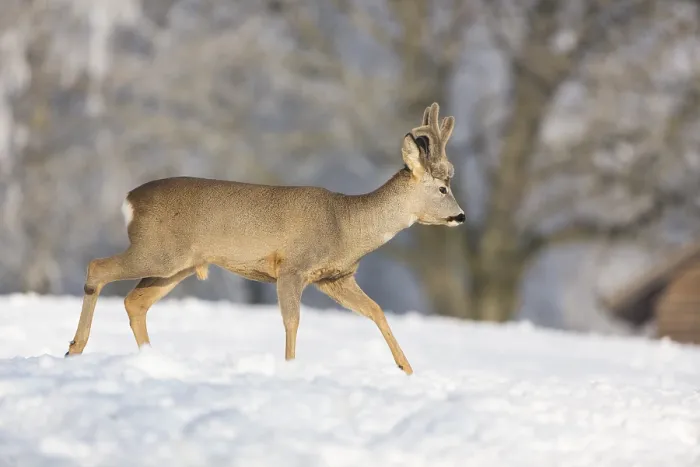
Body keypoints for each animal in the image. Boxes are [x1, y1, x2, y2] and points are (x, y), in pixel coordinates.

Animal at [64, 102, 464, 375]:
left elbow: (376, 311)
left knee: (135, 302)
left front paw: (407, 370)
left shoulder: (335, 277)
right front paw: (290, 367)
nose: (460, 216)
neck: (346, 224)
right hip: (158, 251)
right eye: (442, 188)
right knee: (97, 268)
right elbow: (292, 321)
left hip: (177, 265)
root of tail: (129, 200)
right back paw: (74, 348)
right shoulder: (292, 267)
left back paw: (149, 358)